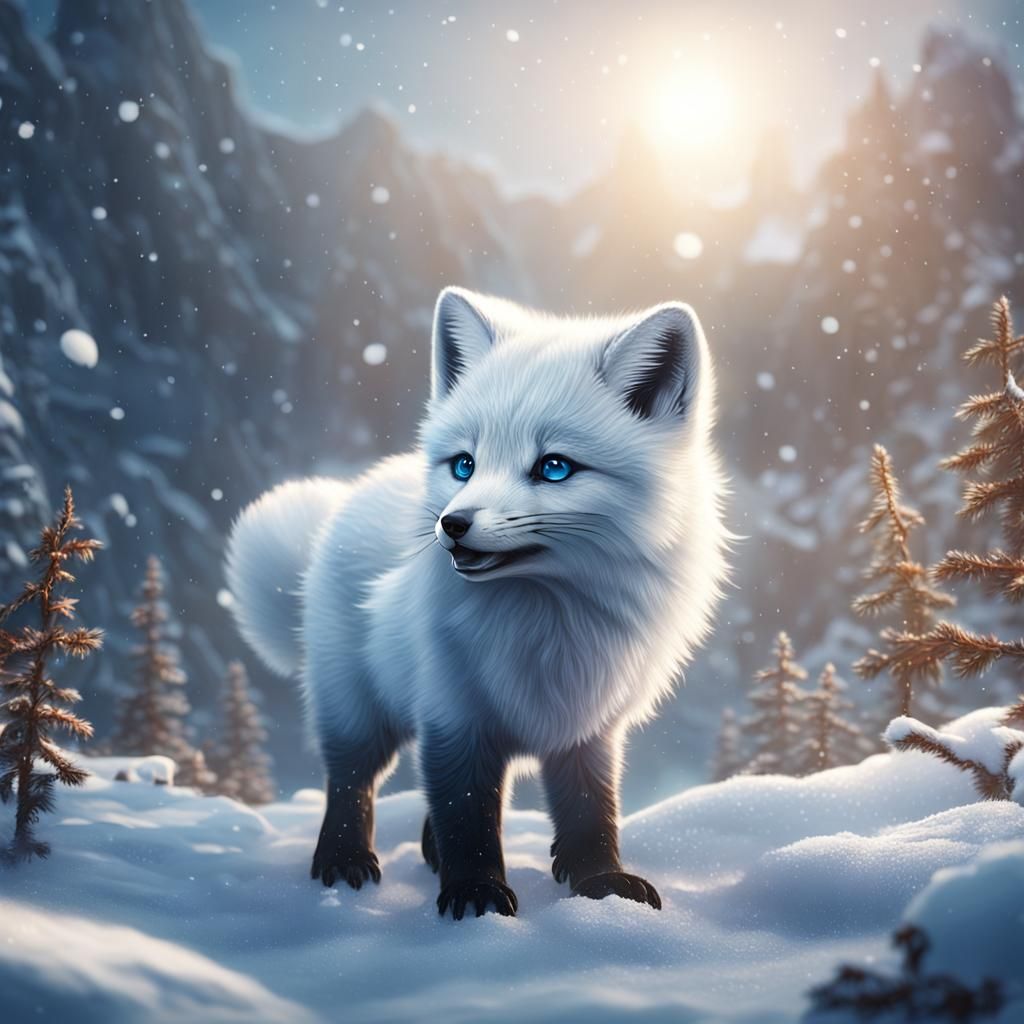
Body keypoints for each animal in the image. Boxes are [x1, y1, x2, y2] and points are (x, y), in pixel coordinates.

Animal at [226, 287, 729, 920]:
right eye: (464, 464)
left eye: (554, 467)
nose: (452, 524)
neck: (548, 627)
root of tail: (346, 500)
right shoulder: (453, 713)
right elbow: (466, 814)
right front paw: (476, 893)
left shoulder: (587, 727)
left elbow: (590, 811)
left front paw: (602, 884)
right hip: (356, 708)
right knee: (350, 781)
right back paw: (344, 861)